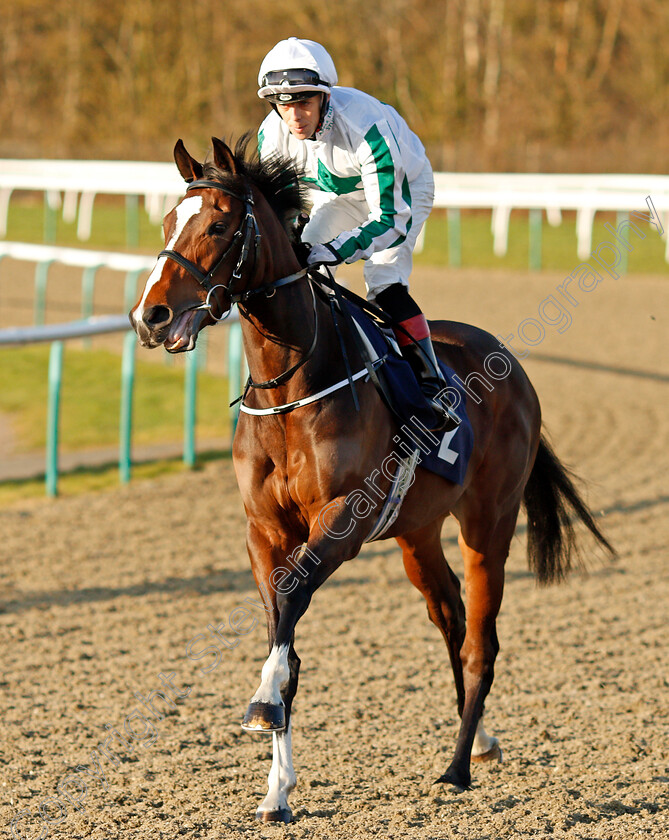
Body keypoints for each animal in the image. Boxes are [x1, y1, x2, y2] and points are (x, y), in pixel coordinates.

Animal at [129, 136, 612, 820]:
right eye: (170, 221)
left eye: (219, 226)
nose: (151, 316)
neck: (292, 392)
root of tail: (513, 369)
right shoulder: (264, 531)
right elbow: (282, 627)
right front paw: (277, 789)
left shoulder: (343, 522)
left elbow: (291, 604)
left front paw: (262, 704)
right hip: (417, 532)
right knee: (451, 618)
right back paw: (479, 740)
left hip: (489, 522)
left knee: (480, 642)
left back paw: (458, 767)